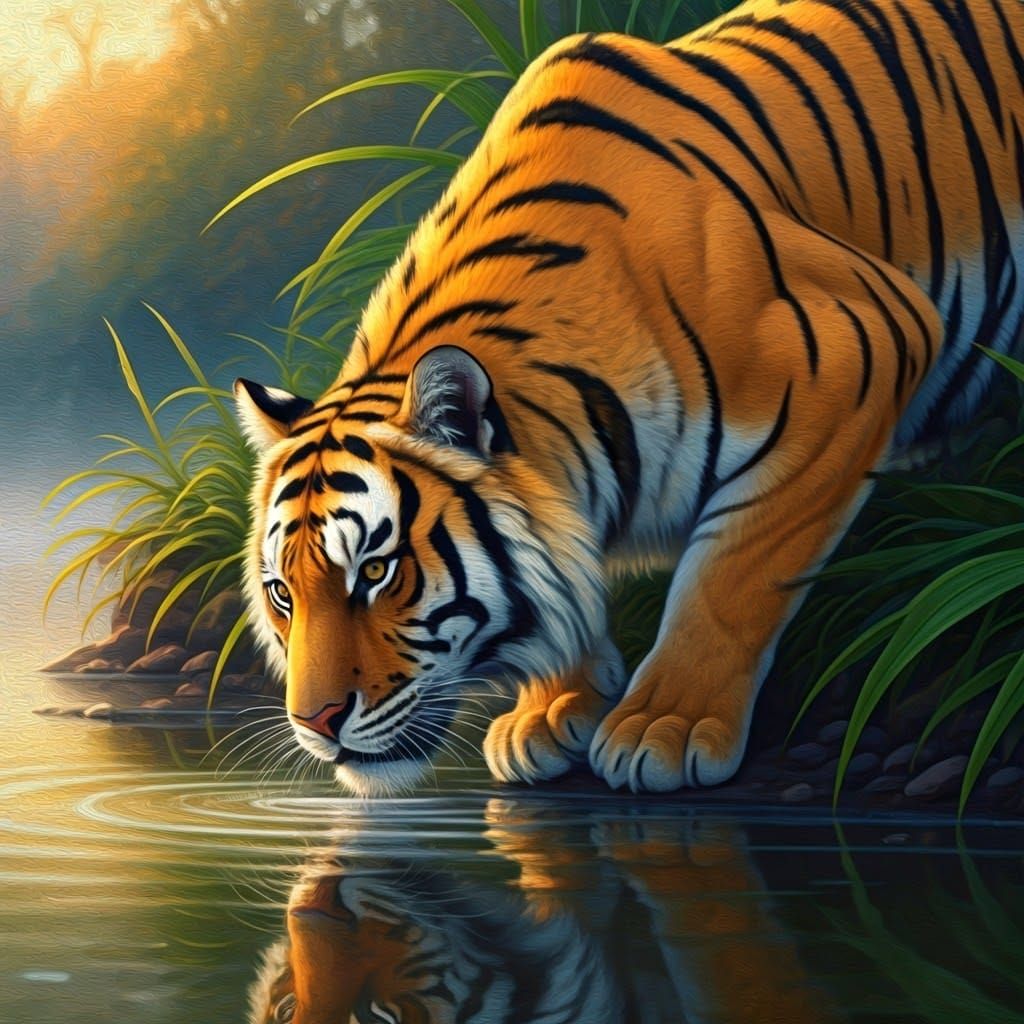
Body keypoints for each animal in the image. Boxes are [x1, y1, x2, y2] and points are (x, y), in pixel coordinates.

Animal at [235, 0, 1024, 796]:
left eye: (376, 571)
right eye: (283, 593)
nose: (315, 723)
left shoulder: (856, 345)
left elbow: (732, 576)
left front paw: (666, 728)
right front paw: (550, 710)